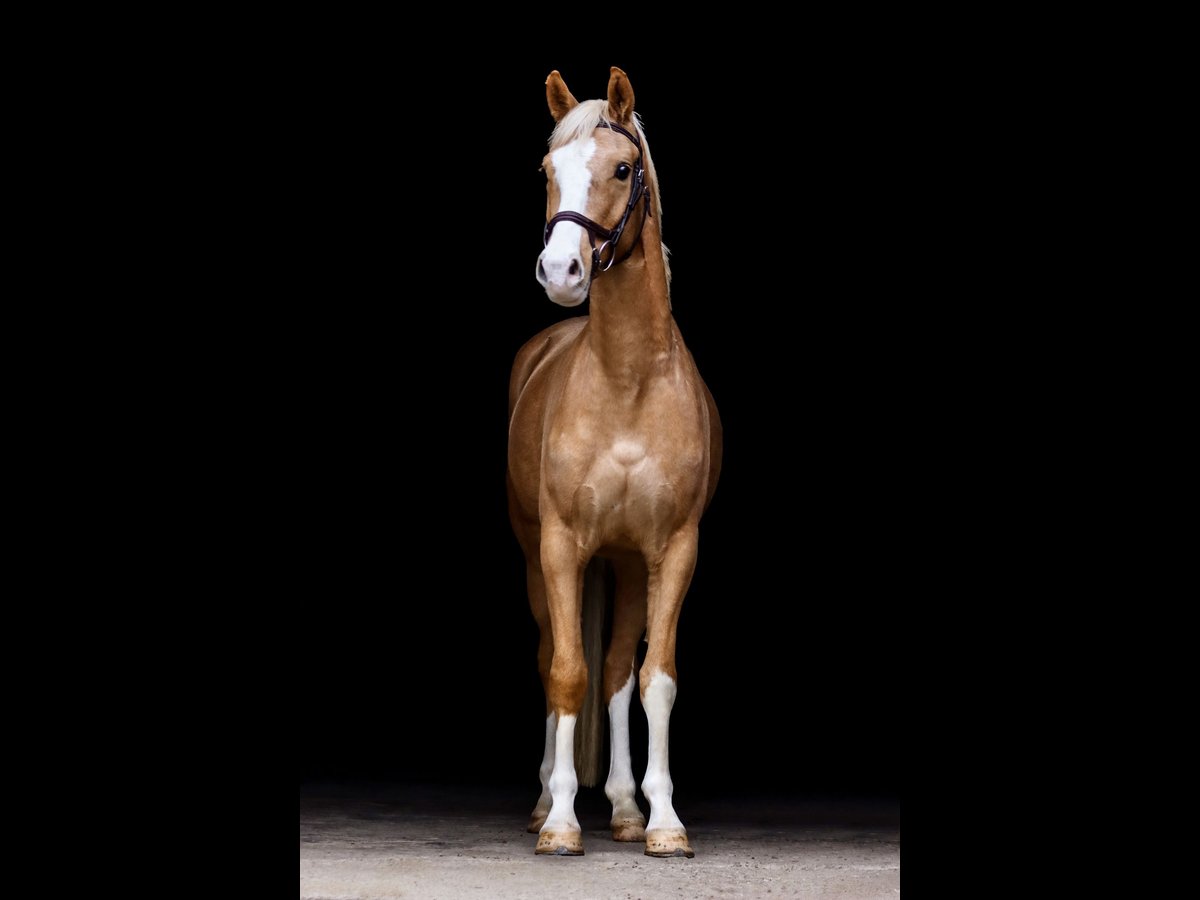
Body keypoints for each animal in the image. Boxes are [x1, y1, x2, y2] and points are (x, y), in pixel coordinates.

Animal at [506, 65, 720, 859]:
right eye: (547, 170)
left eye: (623, 169)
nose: (562, 270)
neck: (628, 381)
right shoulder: (561, 547)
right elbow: (566, 672)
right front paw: (563, 823)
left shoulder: (674, 550)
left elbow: (652, 679)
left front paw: (663, 822)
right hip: (539, 558)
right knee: (556, 660)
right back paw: (546, 799)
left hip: (626, 564)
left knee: (619, 673)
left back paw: (626, 807)